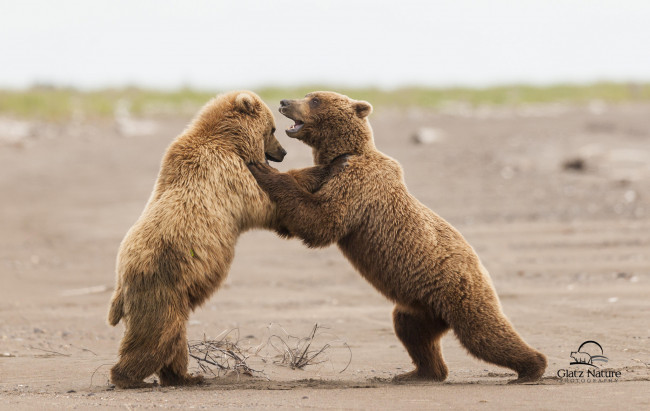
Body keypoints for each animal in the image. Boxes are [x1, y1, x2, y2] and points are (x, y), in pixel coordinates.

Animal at [107, 91, 344, 390]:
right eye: (272, 129)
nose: (283, 152)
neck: (230, 141)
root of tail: (120, 283)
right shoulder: (229, 173)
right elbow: (265, 201)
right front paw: (330, 165)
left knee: (175, 338)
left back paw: (186, 376)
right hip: (161, 284)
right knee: (157, 335)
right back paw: (131, 378)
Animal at [248, 91, 548, 384]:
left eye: (315, 99)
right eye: (308, 95)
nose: (284, 102)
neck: (345, 151)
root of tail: (480, 269)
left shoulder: (358, 185)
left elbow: (323, 220)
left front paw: (262, 169)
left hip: (460, 291)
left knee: (483, 335)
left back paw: (531, 368)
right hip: (420, 307)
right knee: (412, 333)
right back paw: (419, 373)